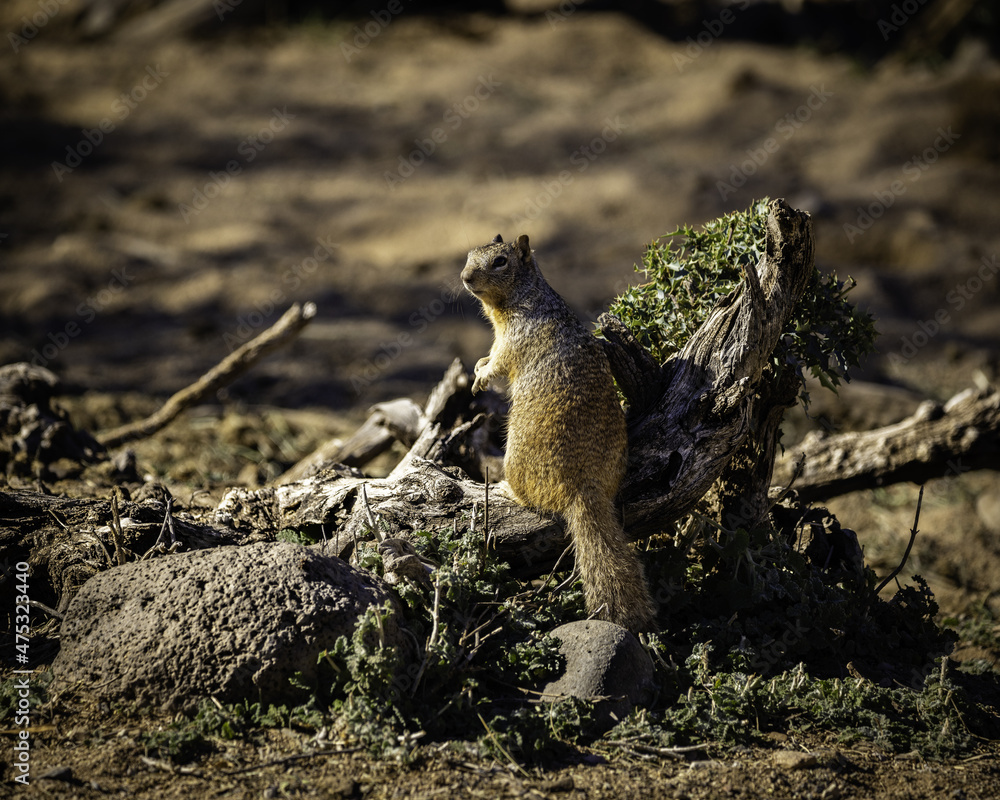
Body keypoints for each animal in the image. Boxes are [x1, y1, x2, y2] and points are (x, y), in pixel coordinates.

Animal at [460, 234, 656, 636]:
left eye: (500, 261)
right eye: (471, 254)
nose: (465, 277)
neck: (522, 297)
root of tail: (584, 487)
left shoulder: (515, 339)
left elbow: (499, 361)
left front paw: (482, 375)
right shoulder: (499, 336)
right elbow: (489, 354)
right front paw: (477, 367)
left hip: (516, 458)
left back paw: (505, 490)